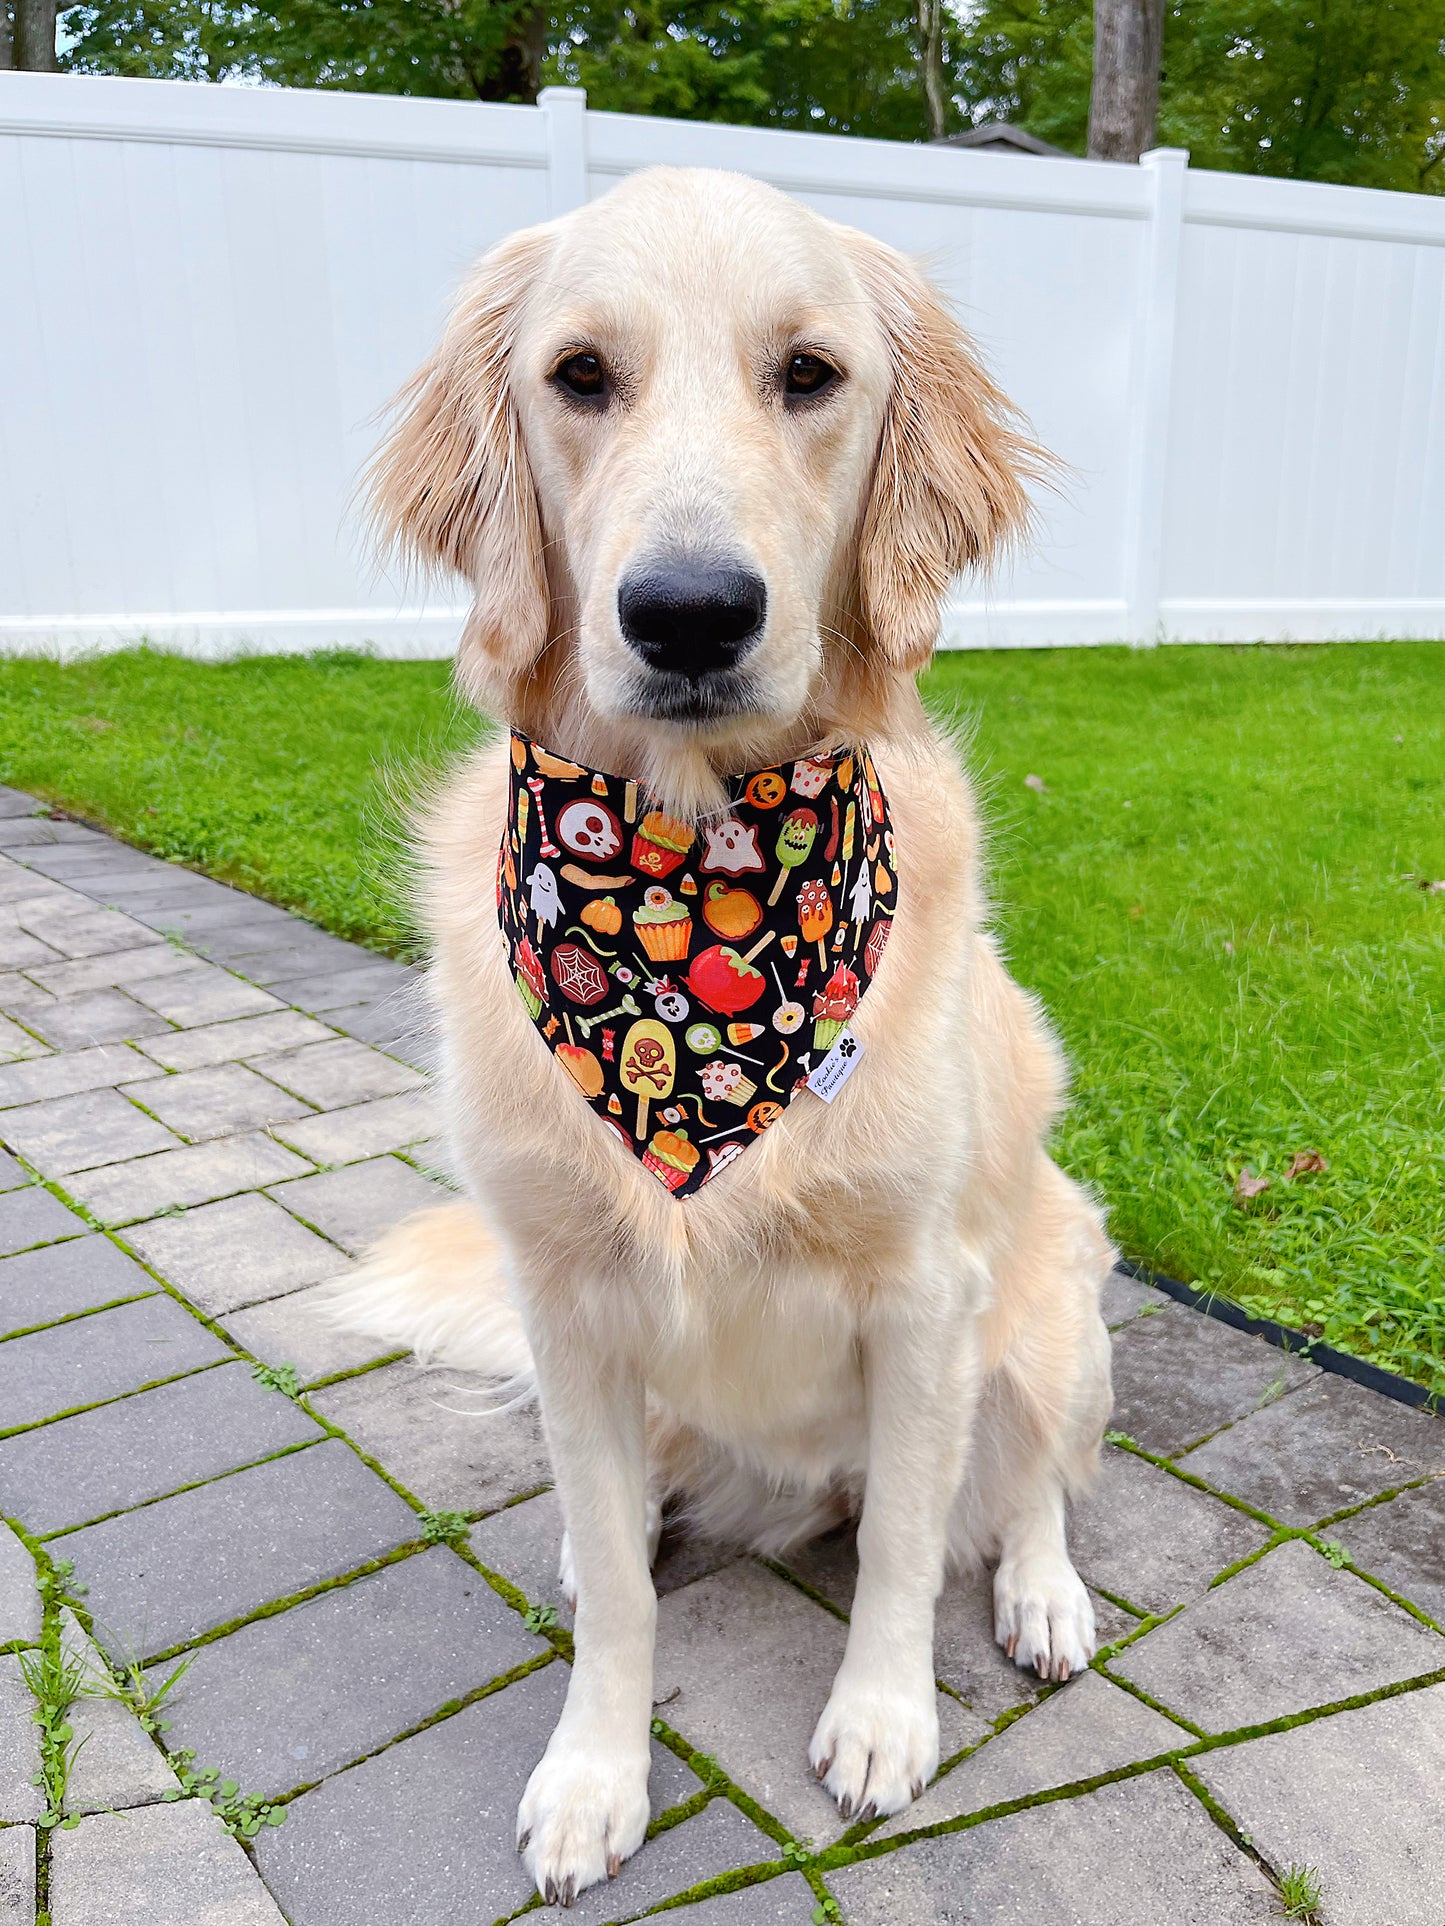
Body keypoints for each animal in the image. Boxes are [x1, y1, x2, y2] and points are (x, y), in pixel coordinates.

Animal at [333, 169, 1117, 1910]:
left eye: (809, 374)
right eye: (579, 376)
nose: (689, 614)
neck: (695, 911)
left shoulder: (926, 1293)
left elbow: (903, 1541)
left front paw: (884, 1720)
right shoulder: (565, 1299)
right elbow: (627, 1593)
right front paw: (592, 1775)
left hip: (1058, 1294)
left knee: (1029, 1479)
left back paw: (1041, 1596)